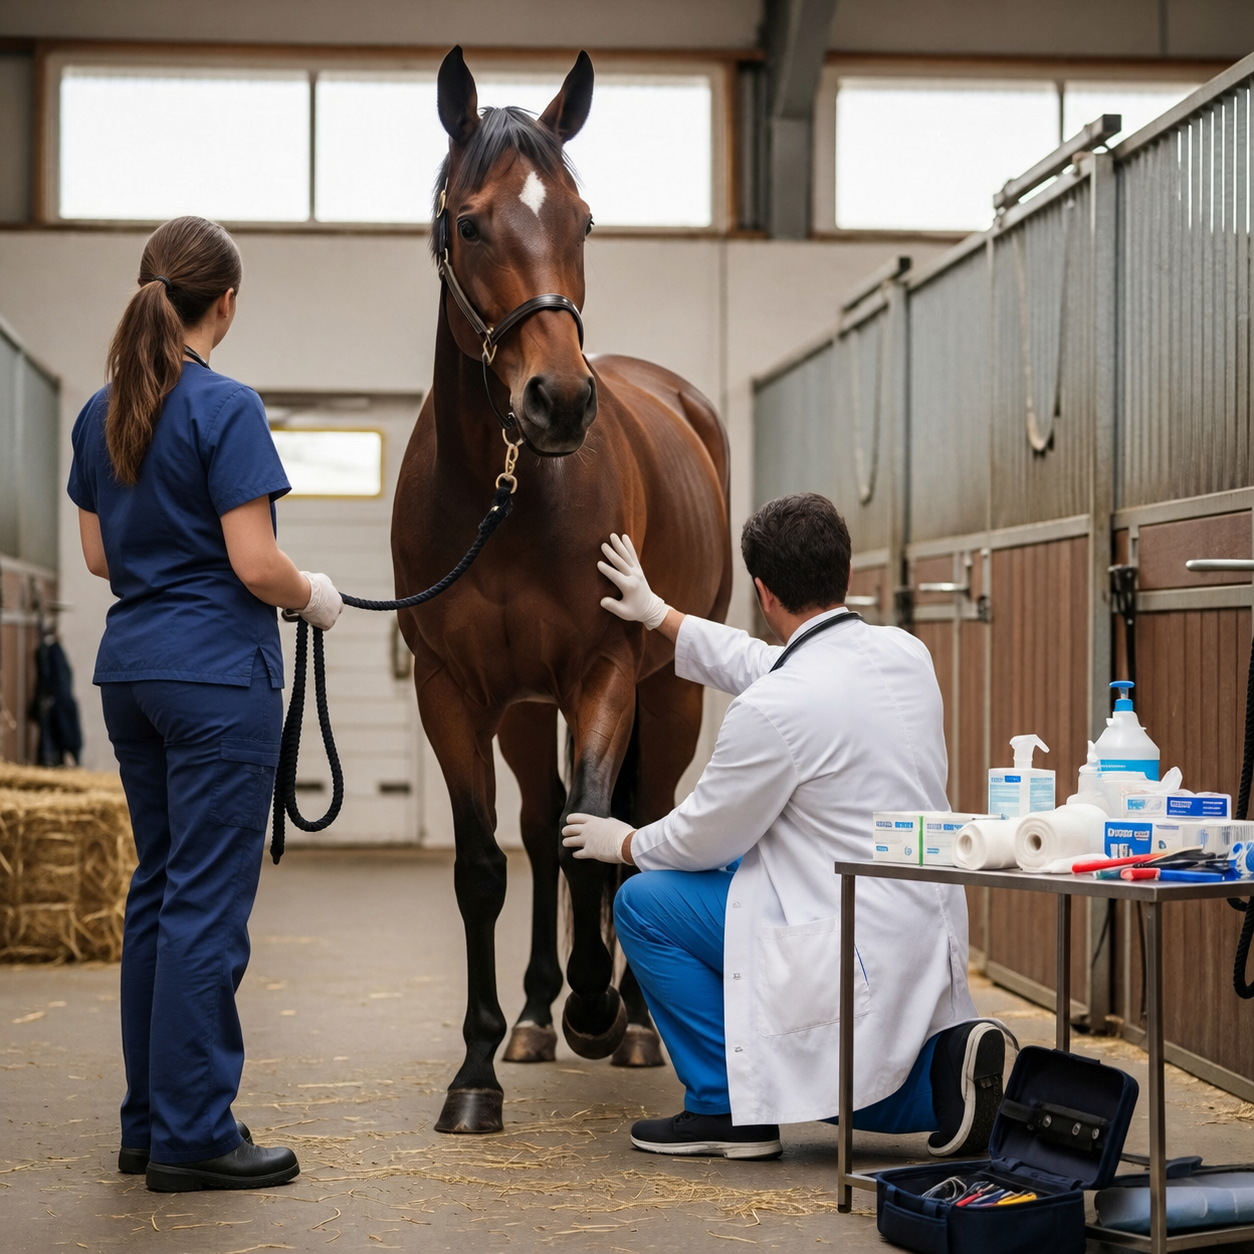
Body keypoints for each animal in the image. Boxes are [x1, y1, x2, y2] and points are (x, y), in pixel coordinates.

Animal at [392, 46, 731, 1134]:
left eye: (582, 219)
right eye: (468, 223)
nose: (562, 401)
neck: (505, 493)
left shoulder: (604, 673)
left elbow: (599, 841)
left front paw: (598, 1007)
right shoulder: (455, 692)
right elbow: (486, 864)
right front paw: (478, 1067)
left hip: (670, 691)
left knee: (640, 819)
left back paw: (629, 1022)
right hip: (521, 708)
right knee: (541, 831)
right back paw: (540, 1016)